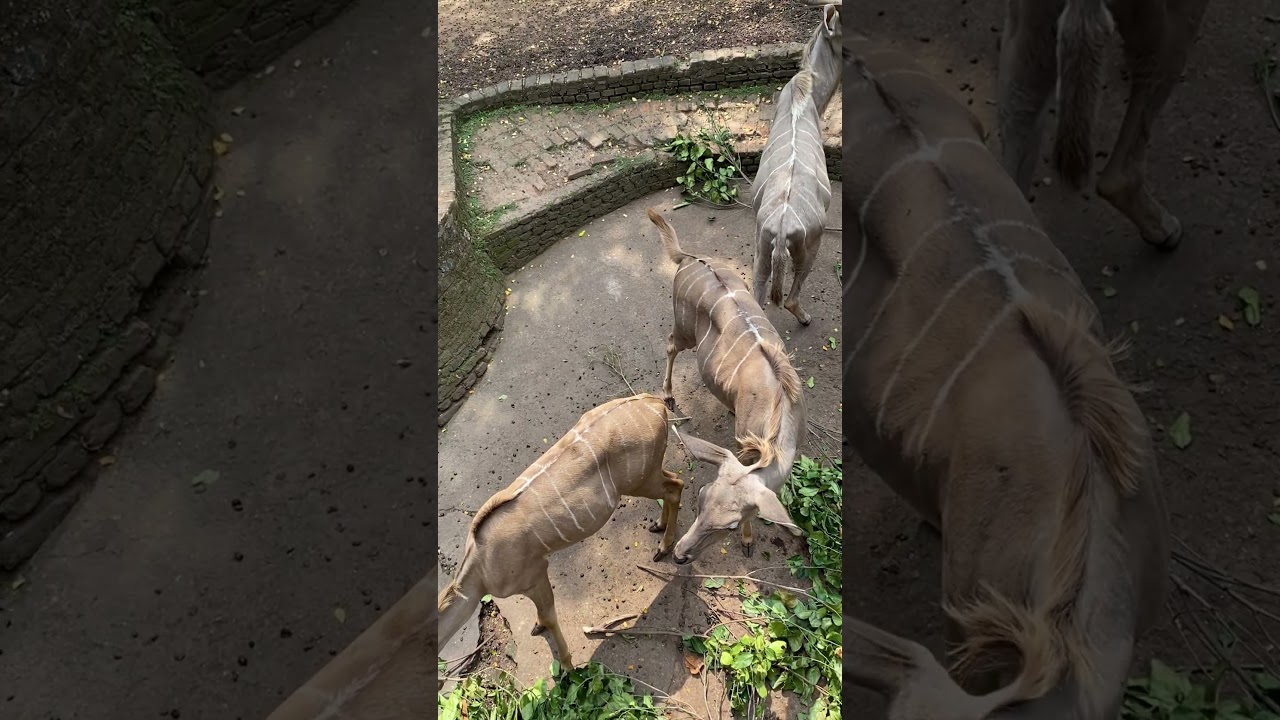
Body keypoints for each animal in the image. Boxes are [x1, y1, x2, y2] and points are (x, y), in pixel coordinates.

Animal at [436, 394, 683, 672]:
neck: (480, 570)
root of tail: (654, 402)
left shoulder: (535, 575)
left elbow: (550, 616)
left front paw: (566, 665)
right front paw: (537, 628)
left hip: (640, 480)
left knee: (676, 486)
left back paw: (664, 547)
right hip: (649, 475)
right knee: (672, 481)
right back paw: (658, 526)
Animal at [646, 207, 807, 562]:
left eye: (729, 525)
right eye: (701, 496)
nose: (680, 554)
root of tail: (688, 257)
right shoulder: (742, 443)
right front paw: (748, 541)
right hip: (684, 332)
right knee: (669, 345)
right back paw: (668, 394)